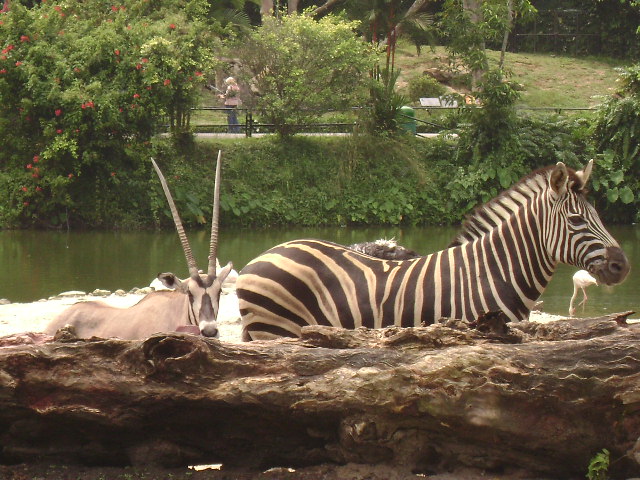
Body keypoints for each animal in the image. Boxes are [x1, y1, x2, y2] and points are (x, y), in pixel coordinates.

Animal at [236, 161, 630, 341]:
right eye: (577, 221)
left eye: (599, 216)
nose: (622, 267)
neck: (493, 272)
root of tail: (260, 257)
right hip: (277, 330)